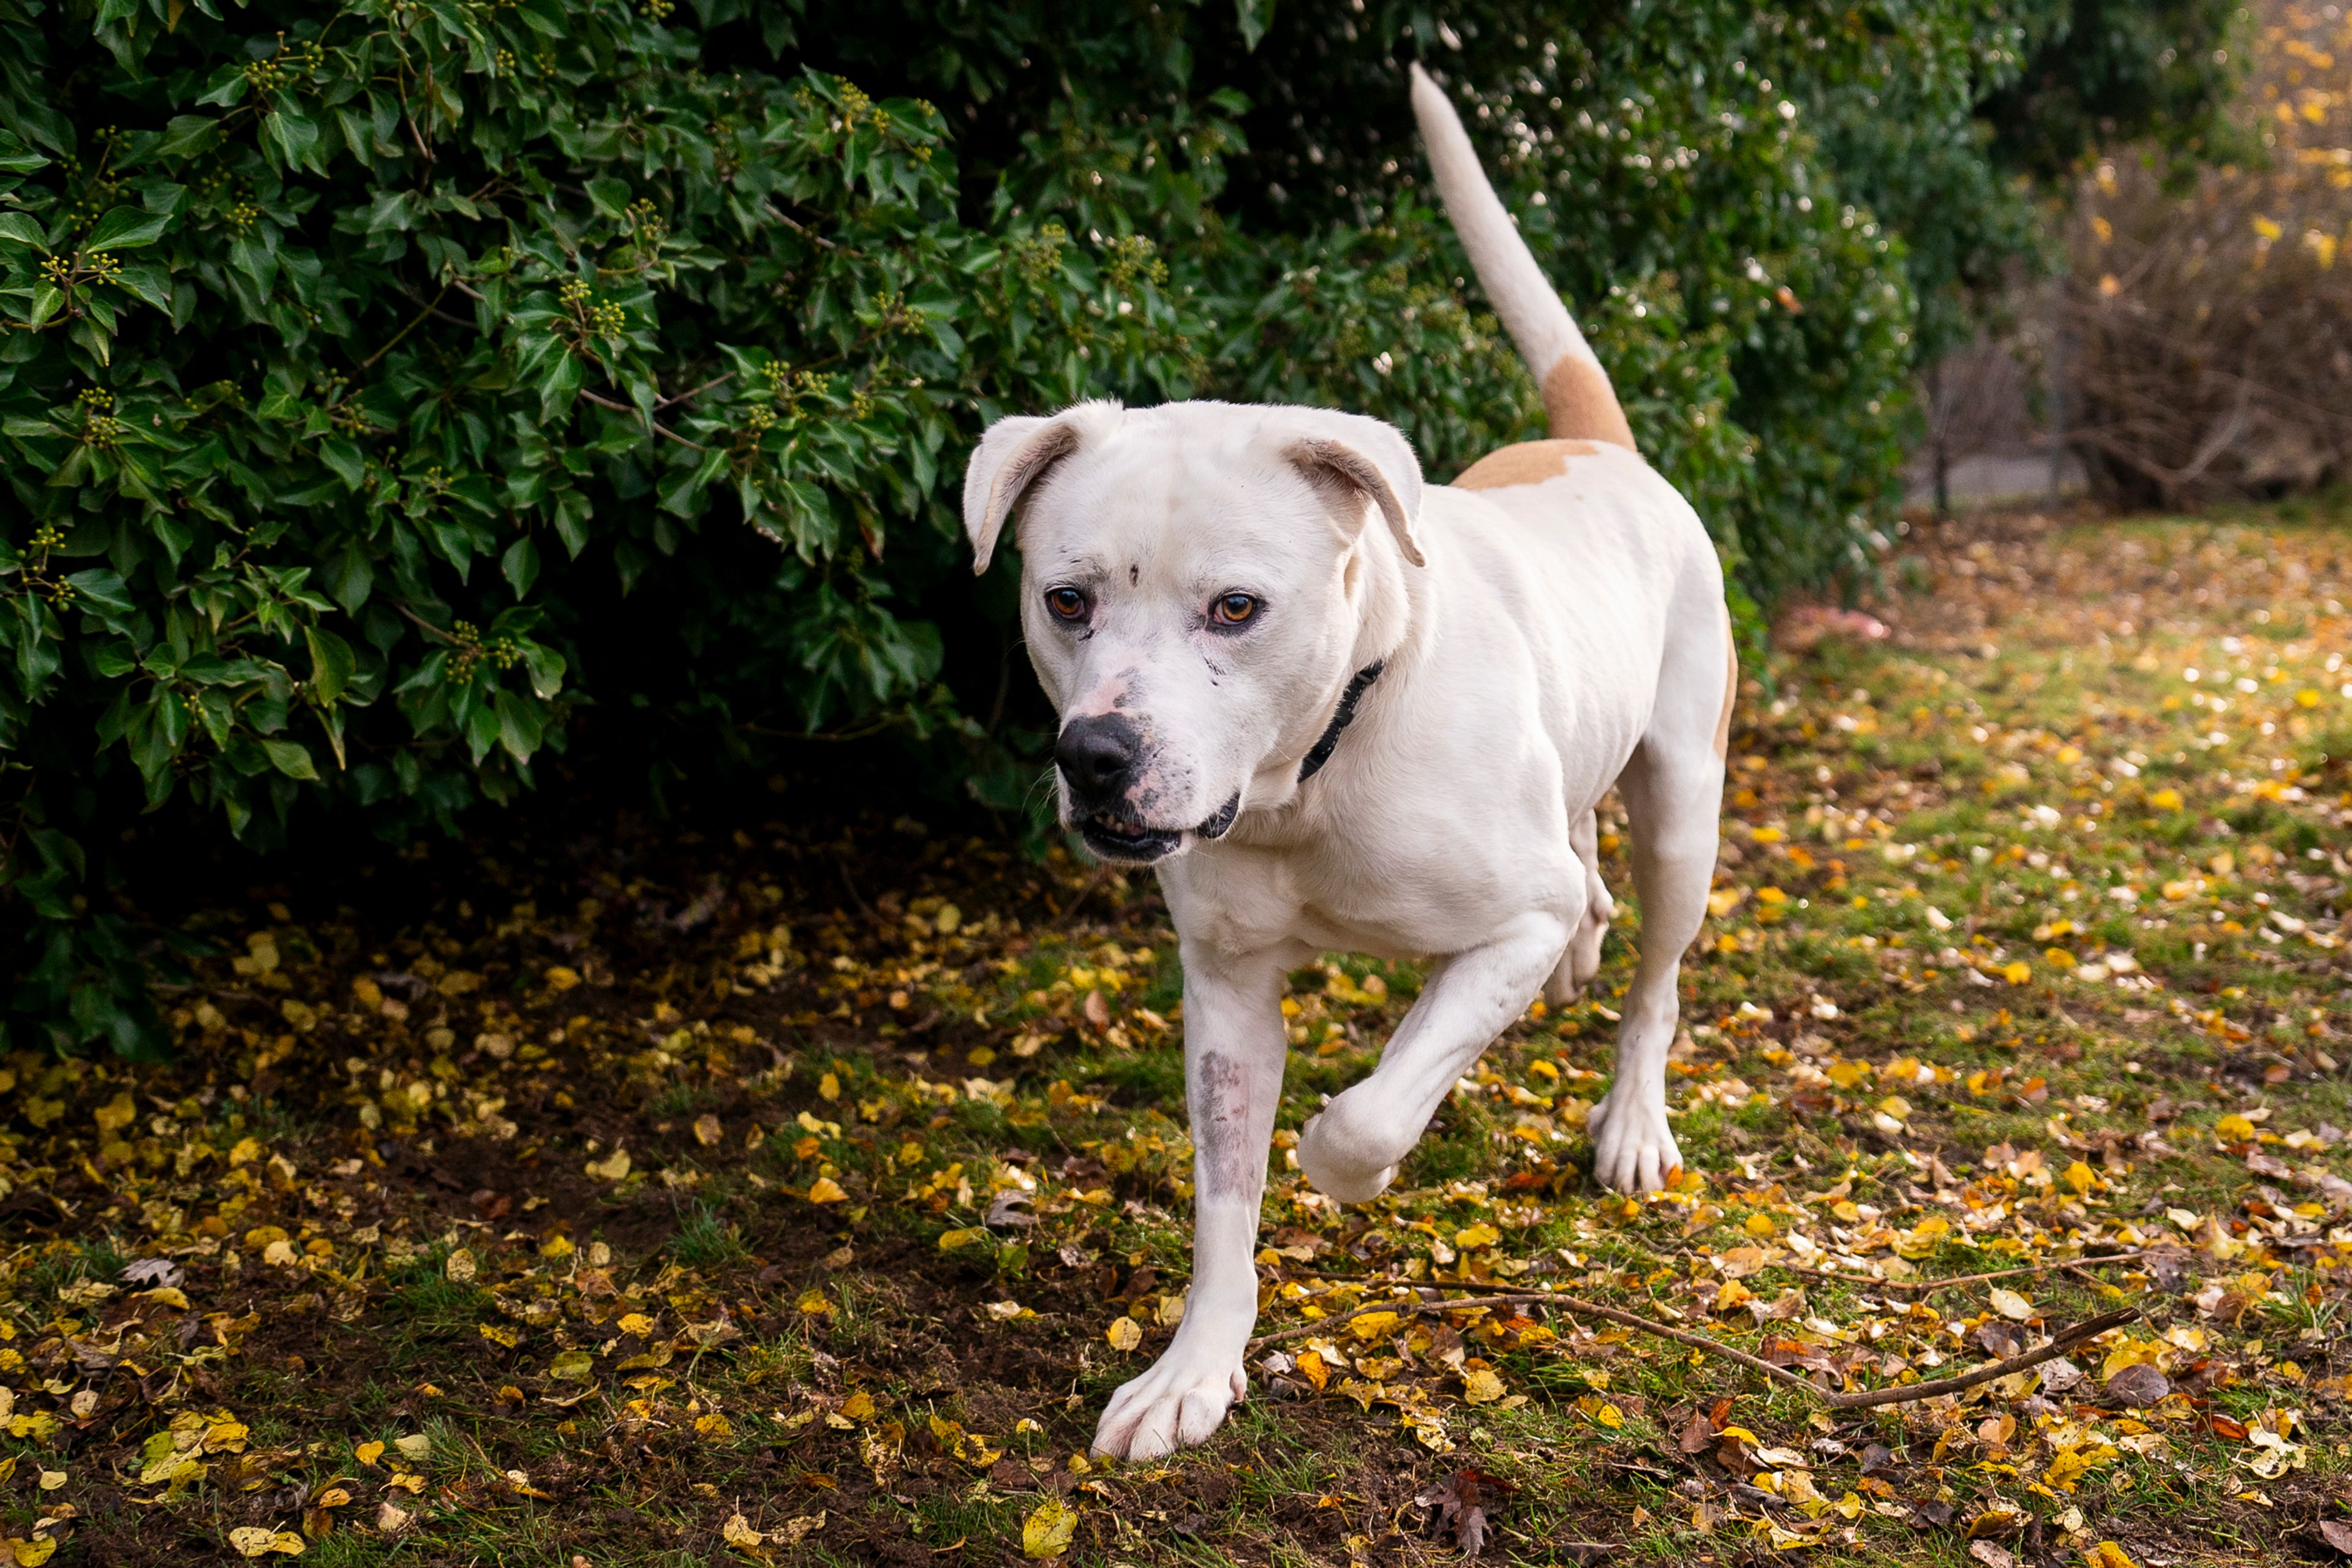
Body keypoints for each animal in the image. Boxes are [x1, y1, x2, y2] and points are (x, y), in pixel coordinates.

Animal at [964, 61, 1740, 1457]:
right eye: (1066, 600)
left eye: (1236, 608)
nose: (1096, 754)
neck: (1312, 777)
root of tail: (1604, 448)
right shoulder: (1225, 990)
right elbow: (1224, 1196)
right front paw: (1193, 1369)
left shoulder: (1507, 920)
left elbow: (1372, 1105)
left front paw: (1352, 1160)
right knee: (1589, 877)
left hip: (1685, 809)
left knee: (1652, 970)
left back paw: (1633, 1119)